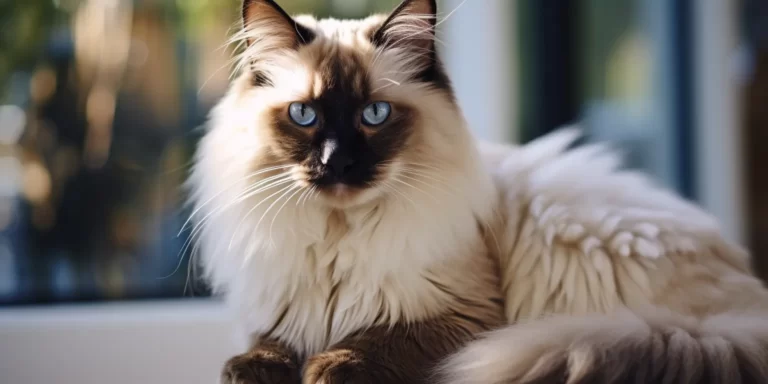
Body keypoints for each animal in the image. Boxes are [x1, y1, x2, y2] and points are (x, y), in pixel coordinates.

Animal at [188, 0, 768, 382]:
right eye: (303, 115)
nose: (338, 163)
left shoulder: (465, 318)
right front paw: (255, 370)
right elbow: (264, 349)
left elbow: (372, 343)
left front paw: (327, 367)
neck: (338, 240)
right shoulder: (272, 316)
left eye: (374, 114)